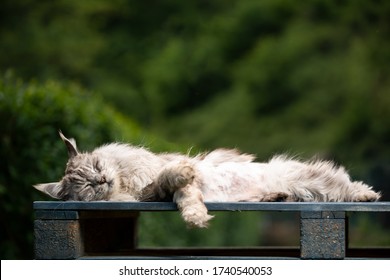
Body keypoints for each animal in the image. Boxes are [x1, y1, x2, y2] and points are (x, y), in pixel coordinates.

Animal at [34, 131, 380, 228]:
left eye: (96, 165)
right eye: (86, 186)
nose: (102, 179)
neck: (125, 185)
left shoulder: (158, 175)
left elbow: (171, 175)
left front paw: (185, 173)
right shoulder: (162, 195)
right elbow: (183, 197)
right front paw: (196, 217)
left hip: (312, 182)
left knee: (344, 185)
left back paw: (367, 195)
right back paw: (276, 197)